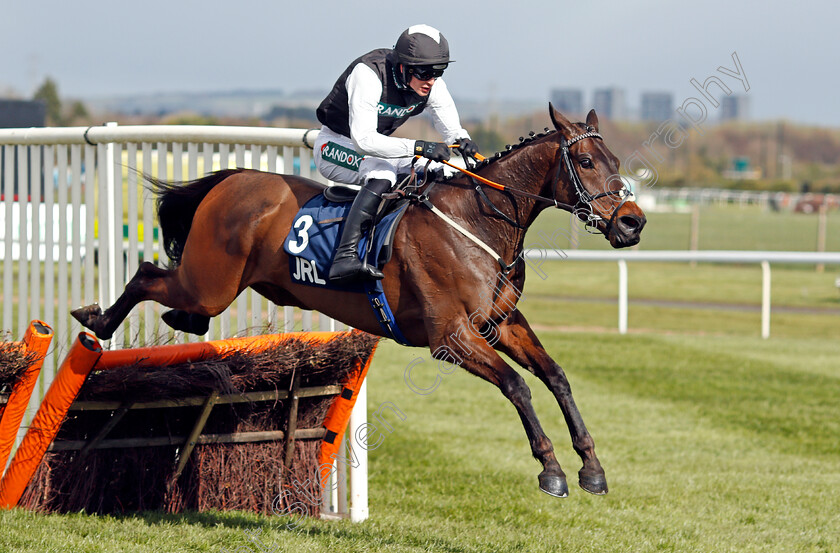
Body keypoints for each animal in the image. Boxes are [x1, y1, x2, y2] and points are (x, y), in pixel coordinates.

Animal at [75, 102, 648, 496]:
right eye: (587, 161)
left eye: (617, 158)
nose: (632, 222)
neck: (475, 223)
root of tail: (232, 179)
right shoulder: (451, 336)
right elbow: (517, 386)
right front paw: (551, 469)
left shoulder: (501, 324)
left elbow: (555, 376)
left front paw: (591, 466)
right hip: (209, 284)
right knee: (146, 274)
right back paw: (96, 321)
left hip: (215, 287)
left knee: (171, 295)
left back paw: (170, 323)